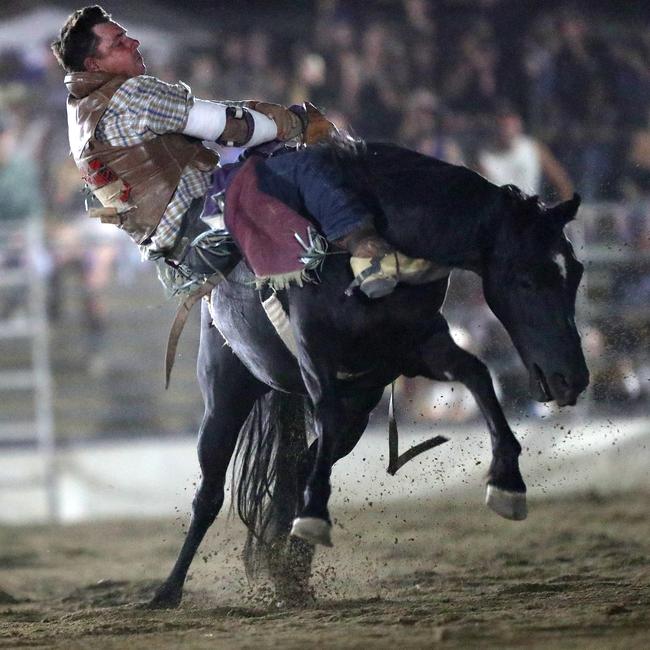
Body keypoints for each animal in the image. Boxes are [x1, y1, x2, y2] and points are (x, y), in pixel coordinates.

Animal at [149, 139, 588, 604]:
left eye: (575, 271)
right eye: (526, 278)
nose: (572, 377)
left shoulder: (417, 348)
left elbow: (477, 375)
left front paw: (507, 482)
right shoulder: (315, 352)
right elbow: (323, 410)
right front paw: (314, 517)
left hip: (358, 407)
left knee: (300, 467)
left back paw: (291, 574)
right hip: (225, 395)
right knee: (211, 492)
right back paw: (169, 590)